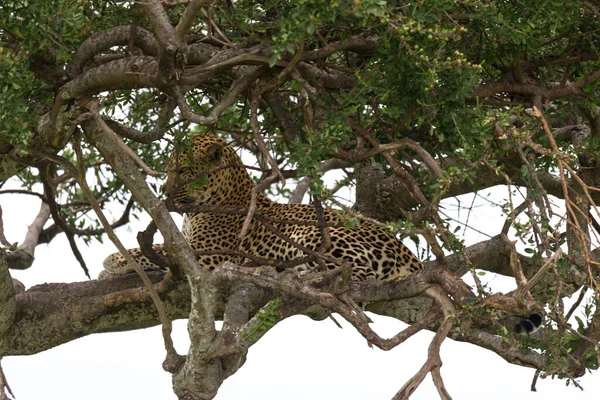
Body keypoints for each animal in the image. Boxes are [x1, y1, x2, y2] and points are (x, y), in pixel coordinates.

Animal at [101, 134, 424, 282]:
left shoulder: (209, 254)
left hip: (315, 235)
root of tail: (408, 255)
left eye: (182, 171)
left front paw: (112, 260)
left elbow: (157, 248)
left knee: (354, 272)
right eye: (169, 170)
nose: (165, 192)